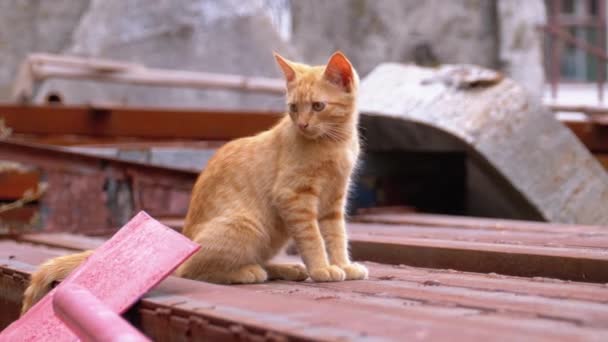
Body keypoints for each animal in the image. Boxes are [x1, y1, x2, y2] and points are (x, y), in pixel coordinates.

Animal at [21, 52, 366, 314]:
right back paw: (250, 272)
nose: (303, 124)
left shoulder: (334, 201)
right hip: (247, 224)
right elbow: (313, 239)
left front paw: (343, 264)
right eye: (294, 108)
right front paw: (322, 268)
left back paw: (284, 269)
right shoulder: (293, 197)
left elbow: (336, 236)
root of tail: (185, 236)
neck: (334, 143)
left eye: (318, 106)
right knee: (195, 270)